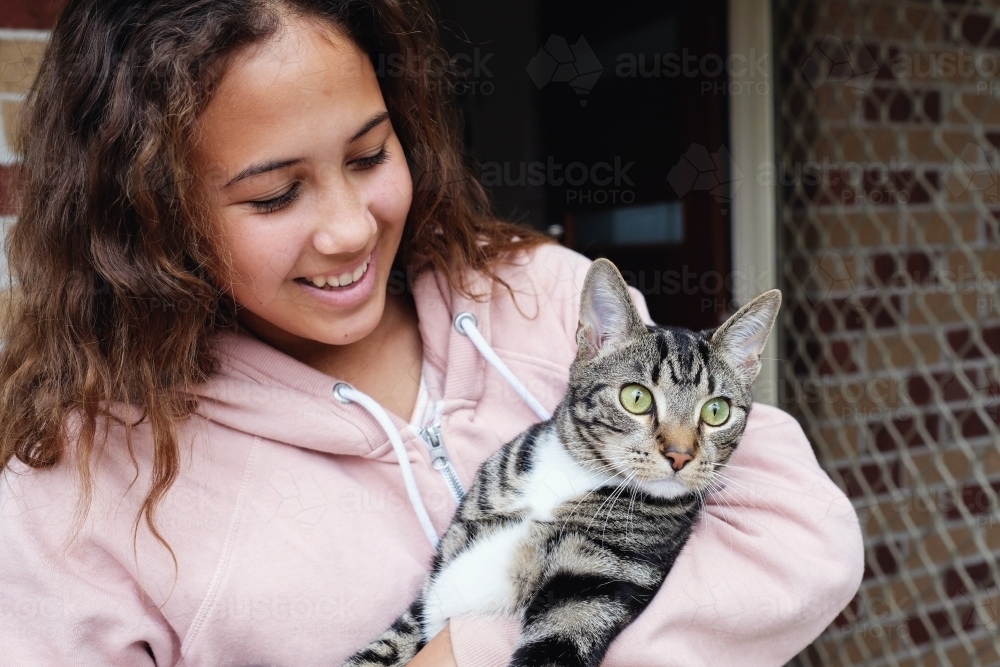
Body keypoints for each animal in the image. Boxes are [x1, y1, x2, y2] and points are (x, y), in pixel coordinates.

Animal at [344, 258, 780, 667]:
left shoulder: (594, 587)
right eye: (636, 398)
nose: (680, 454)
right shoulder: (437, 583)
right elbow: (385, 646)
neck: (569, 478)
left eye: (716, 411)